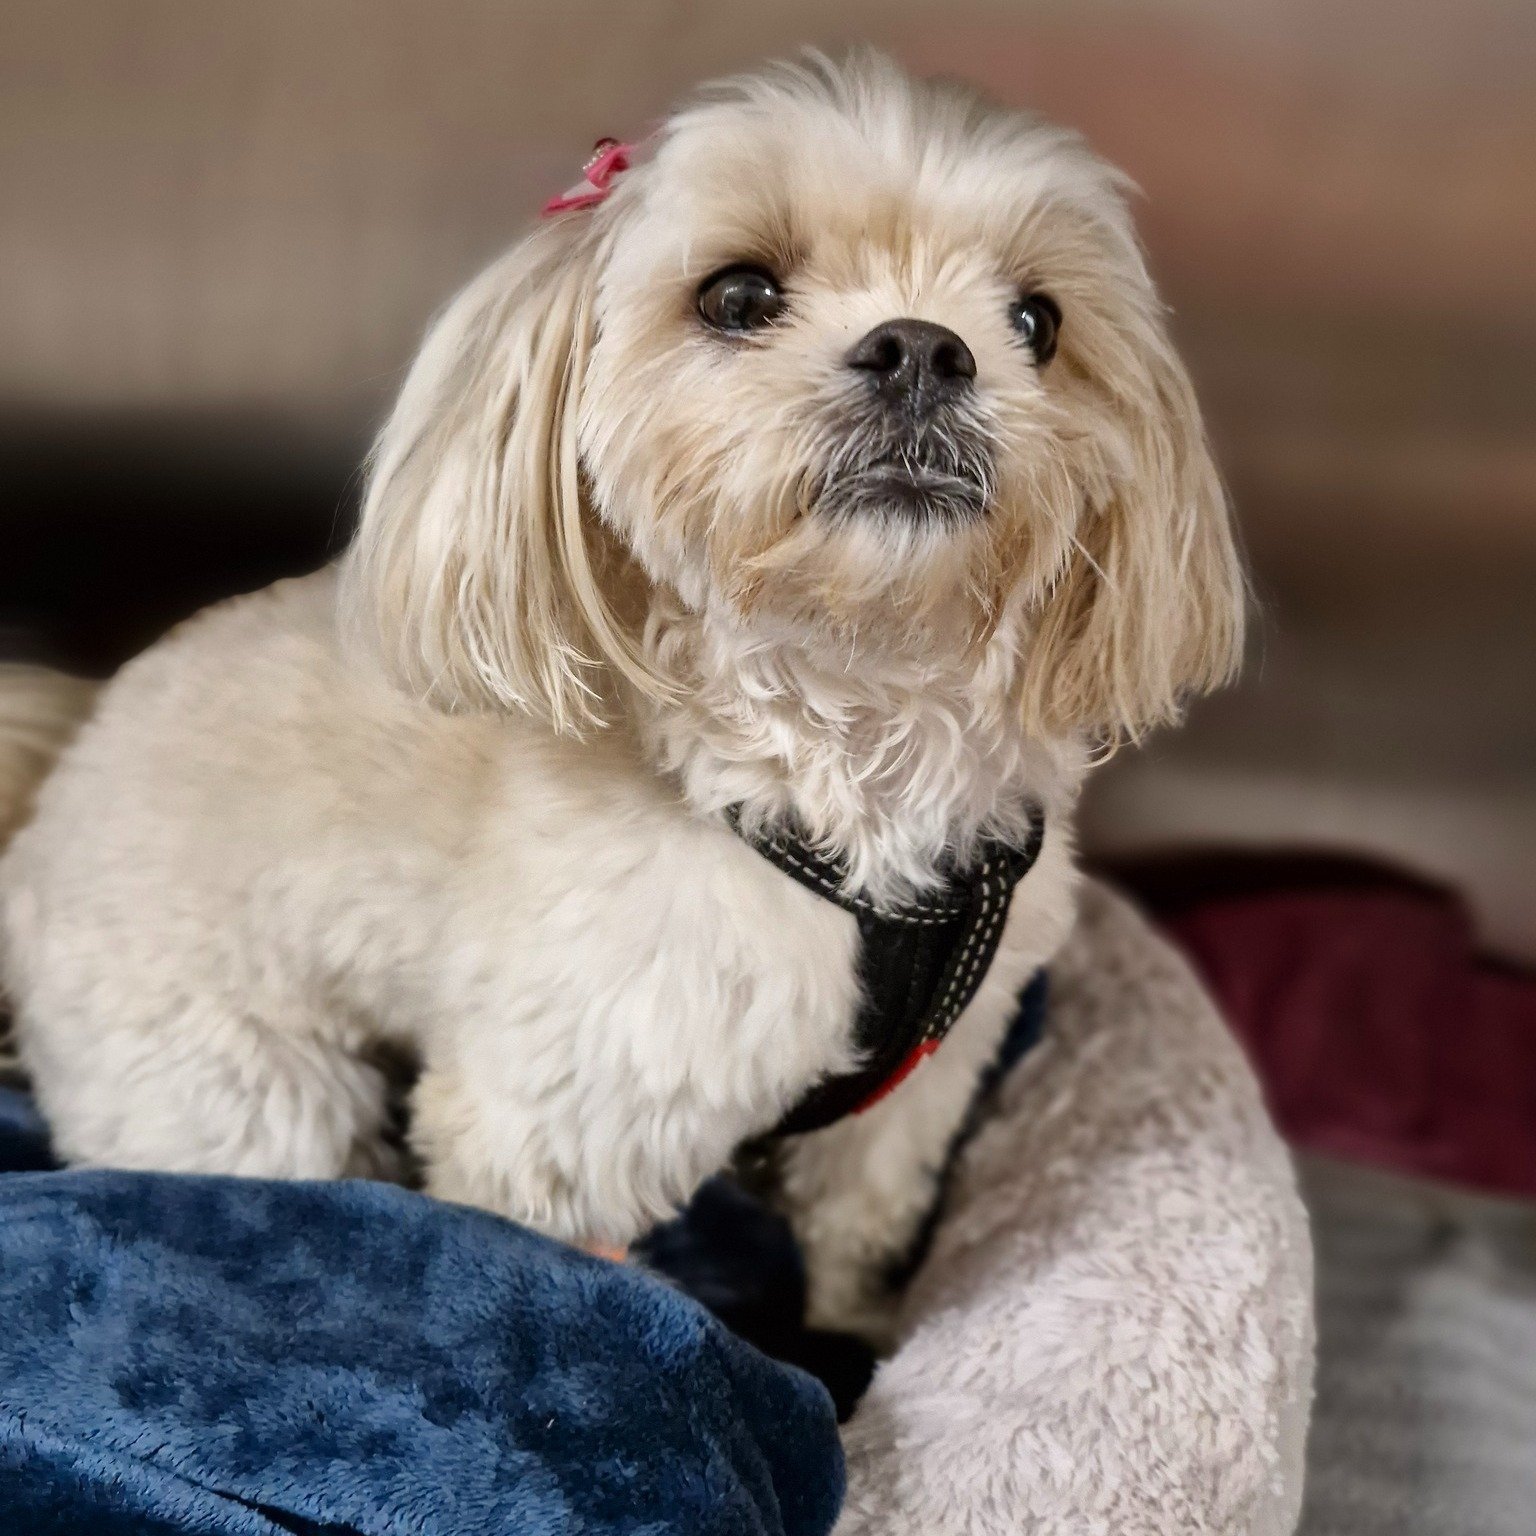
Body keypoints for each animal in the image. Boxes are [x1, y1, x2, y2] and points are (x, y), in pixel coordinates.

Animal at [0, 54, 1241, 1339]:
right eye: (738, 295)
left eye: (1038, 322)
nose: (924, 348)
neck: (850, 744)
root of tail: (58, 764)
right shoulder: (563, 1121)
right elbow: (569, 1262)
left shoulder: (916, 1092)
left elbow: (859, 1222)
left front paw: (857, 1331)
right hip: (236, 1093)